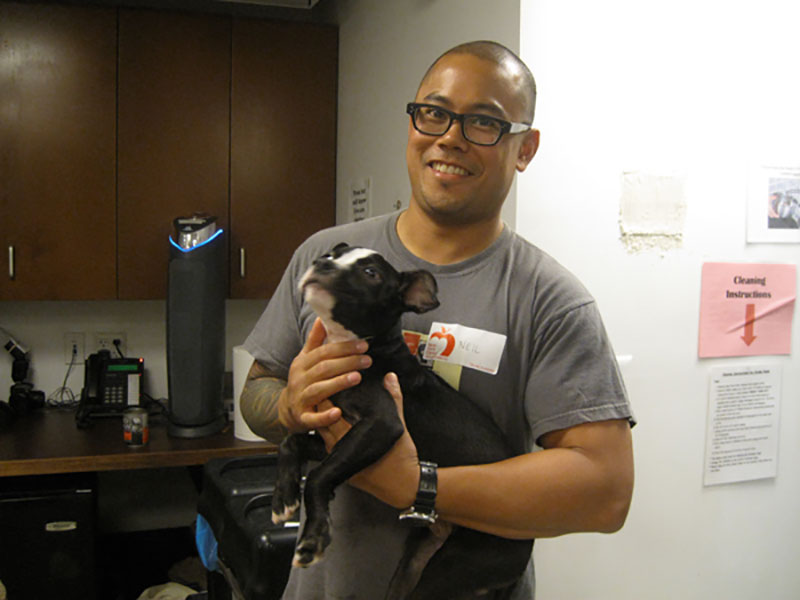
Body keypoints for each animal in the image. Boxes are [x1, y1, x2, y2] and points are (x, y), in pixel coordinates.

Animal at [272, 244, 536, 600]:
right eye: (332, 254)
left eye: (371, 273)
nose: (321, 262)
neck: (359, 347)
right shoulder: (334, 433)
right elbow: (292, 442)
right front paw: (284, 497)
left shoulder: (381, 425)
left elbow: (318, 475)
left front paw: (313, 538)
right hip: (415, 564)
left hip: (450, 571)